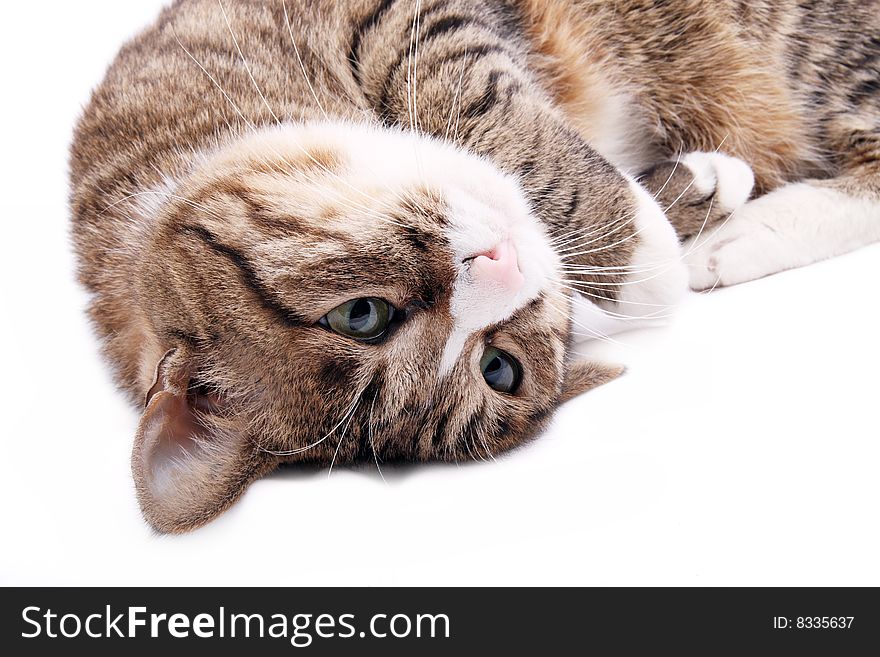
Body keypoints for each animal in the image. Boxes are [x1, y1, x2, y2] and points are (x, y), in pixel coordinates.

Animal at [70, 0, 880, 532]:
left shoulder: (391, 19)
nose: (509, 268)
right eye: (500, 368)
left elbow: (483, 100)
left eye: (359, 315)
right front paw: (674, 221)